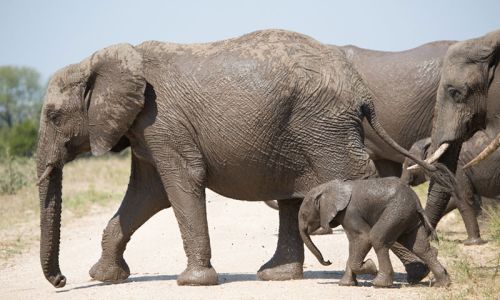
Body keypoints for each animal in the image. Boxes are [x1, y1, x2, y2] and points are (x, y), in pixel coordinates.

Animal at [298, 177, 452, 288]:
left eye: (304, 214)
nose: (328, 261)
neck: (326, 188)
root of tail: (417, 201)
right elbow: (353, 244)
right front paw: (345, 284)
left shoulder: (350, 212)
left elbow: (362, 238)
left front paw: (371, 267)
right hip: (409, 217)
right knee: (419, 247)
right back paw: (442, 284)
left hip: (397, 210)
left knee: (377, 238)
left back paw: (379, 284)